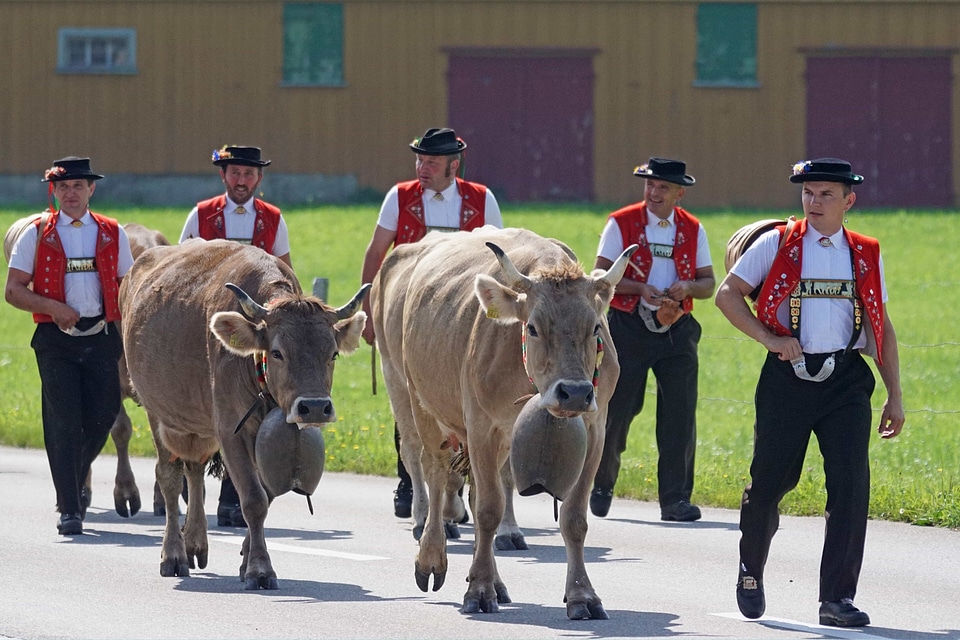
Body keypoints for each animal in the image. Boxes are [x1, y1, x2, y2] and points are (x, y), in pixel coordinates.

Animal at [122, 240, 370, 592]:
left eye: (332, 353)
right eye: (277, 352)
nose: (314, 406)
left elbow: (266, 495)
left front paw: (246, 559)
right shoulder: (231, 431)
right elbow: (253, 499)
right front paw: (260, 569)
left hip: (199, 426)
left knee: (194, 472)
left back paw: (195, 543)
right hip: (159, 415)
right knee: (169, 478)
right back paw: (174, 555)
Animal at [376, 228, 636, 616]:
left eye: (594, 328)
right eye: (533, 328)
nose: (574, 393)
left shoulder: (595, 428)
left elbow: (574, 517)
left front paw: (582, 595)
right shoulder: (481, 426)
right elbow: (487, 509)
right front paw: (479, 590)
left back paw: (495, 581)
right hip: (412, 396)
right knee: (431, 469)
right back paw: (431, 555)